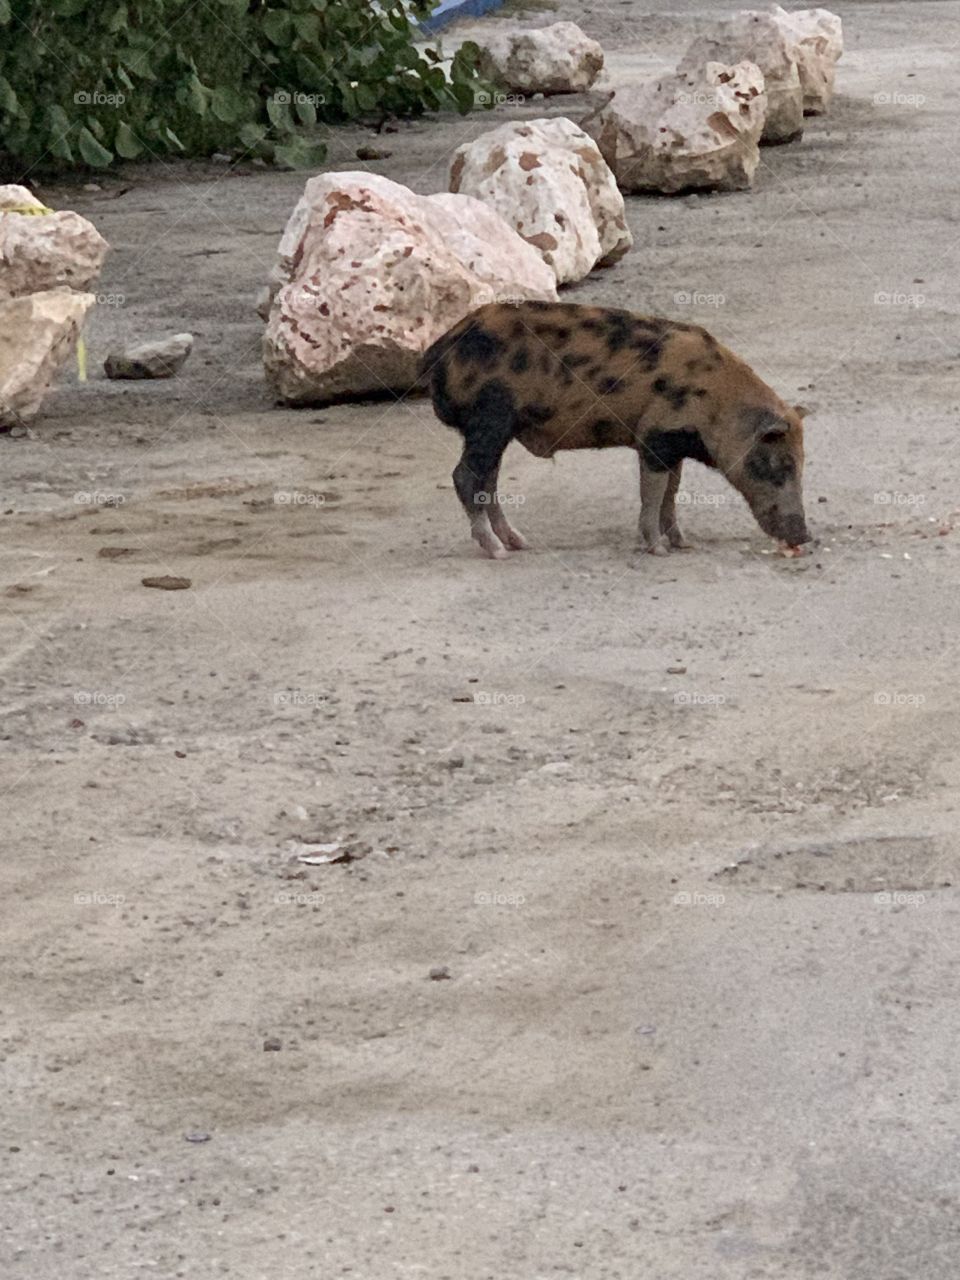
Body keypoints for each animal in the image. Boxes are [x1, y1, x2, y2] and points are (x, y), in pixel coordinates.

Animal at [419, 300, 810, 559]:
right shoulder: (655, 435)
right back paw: (497, 551)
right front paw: (658, 550)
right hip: (489, 417)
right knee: (465, 476)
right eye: (782, 465)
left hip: (496, 430)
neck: (717, 398)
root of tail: (442, 346)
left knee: (489, 481)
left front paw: (684, 544)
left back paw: (520, 543)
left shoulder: (673, 444)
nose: (805, 536)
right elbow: (653, 493)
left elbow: (671, 493)